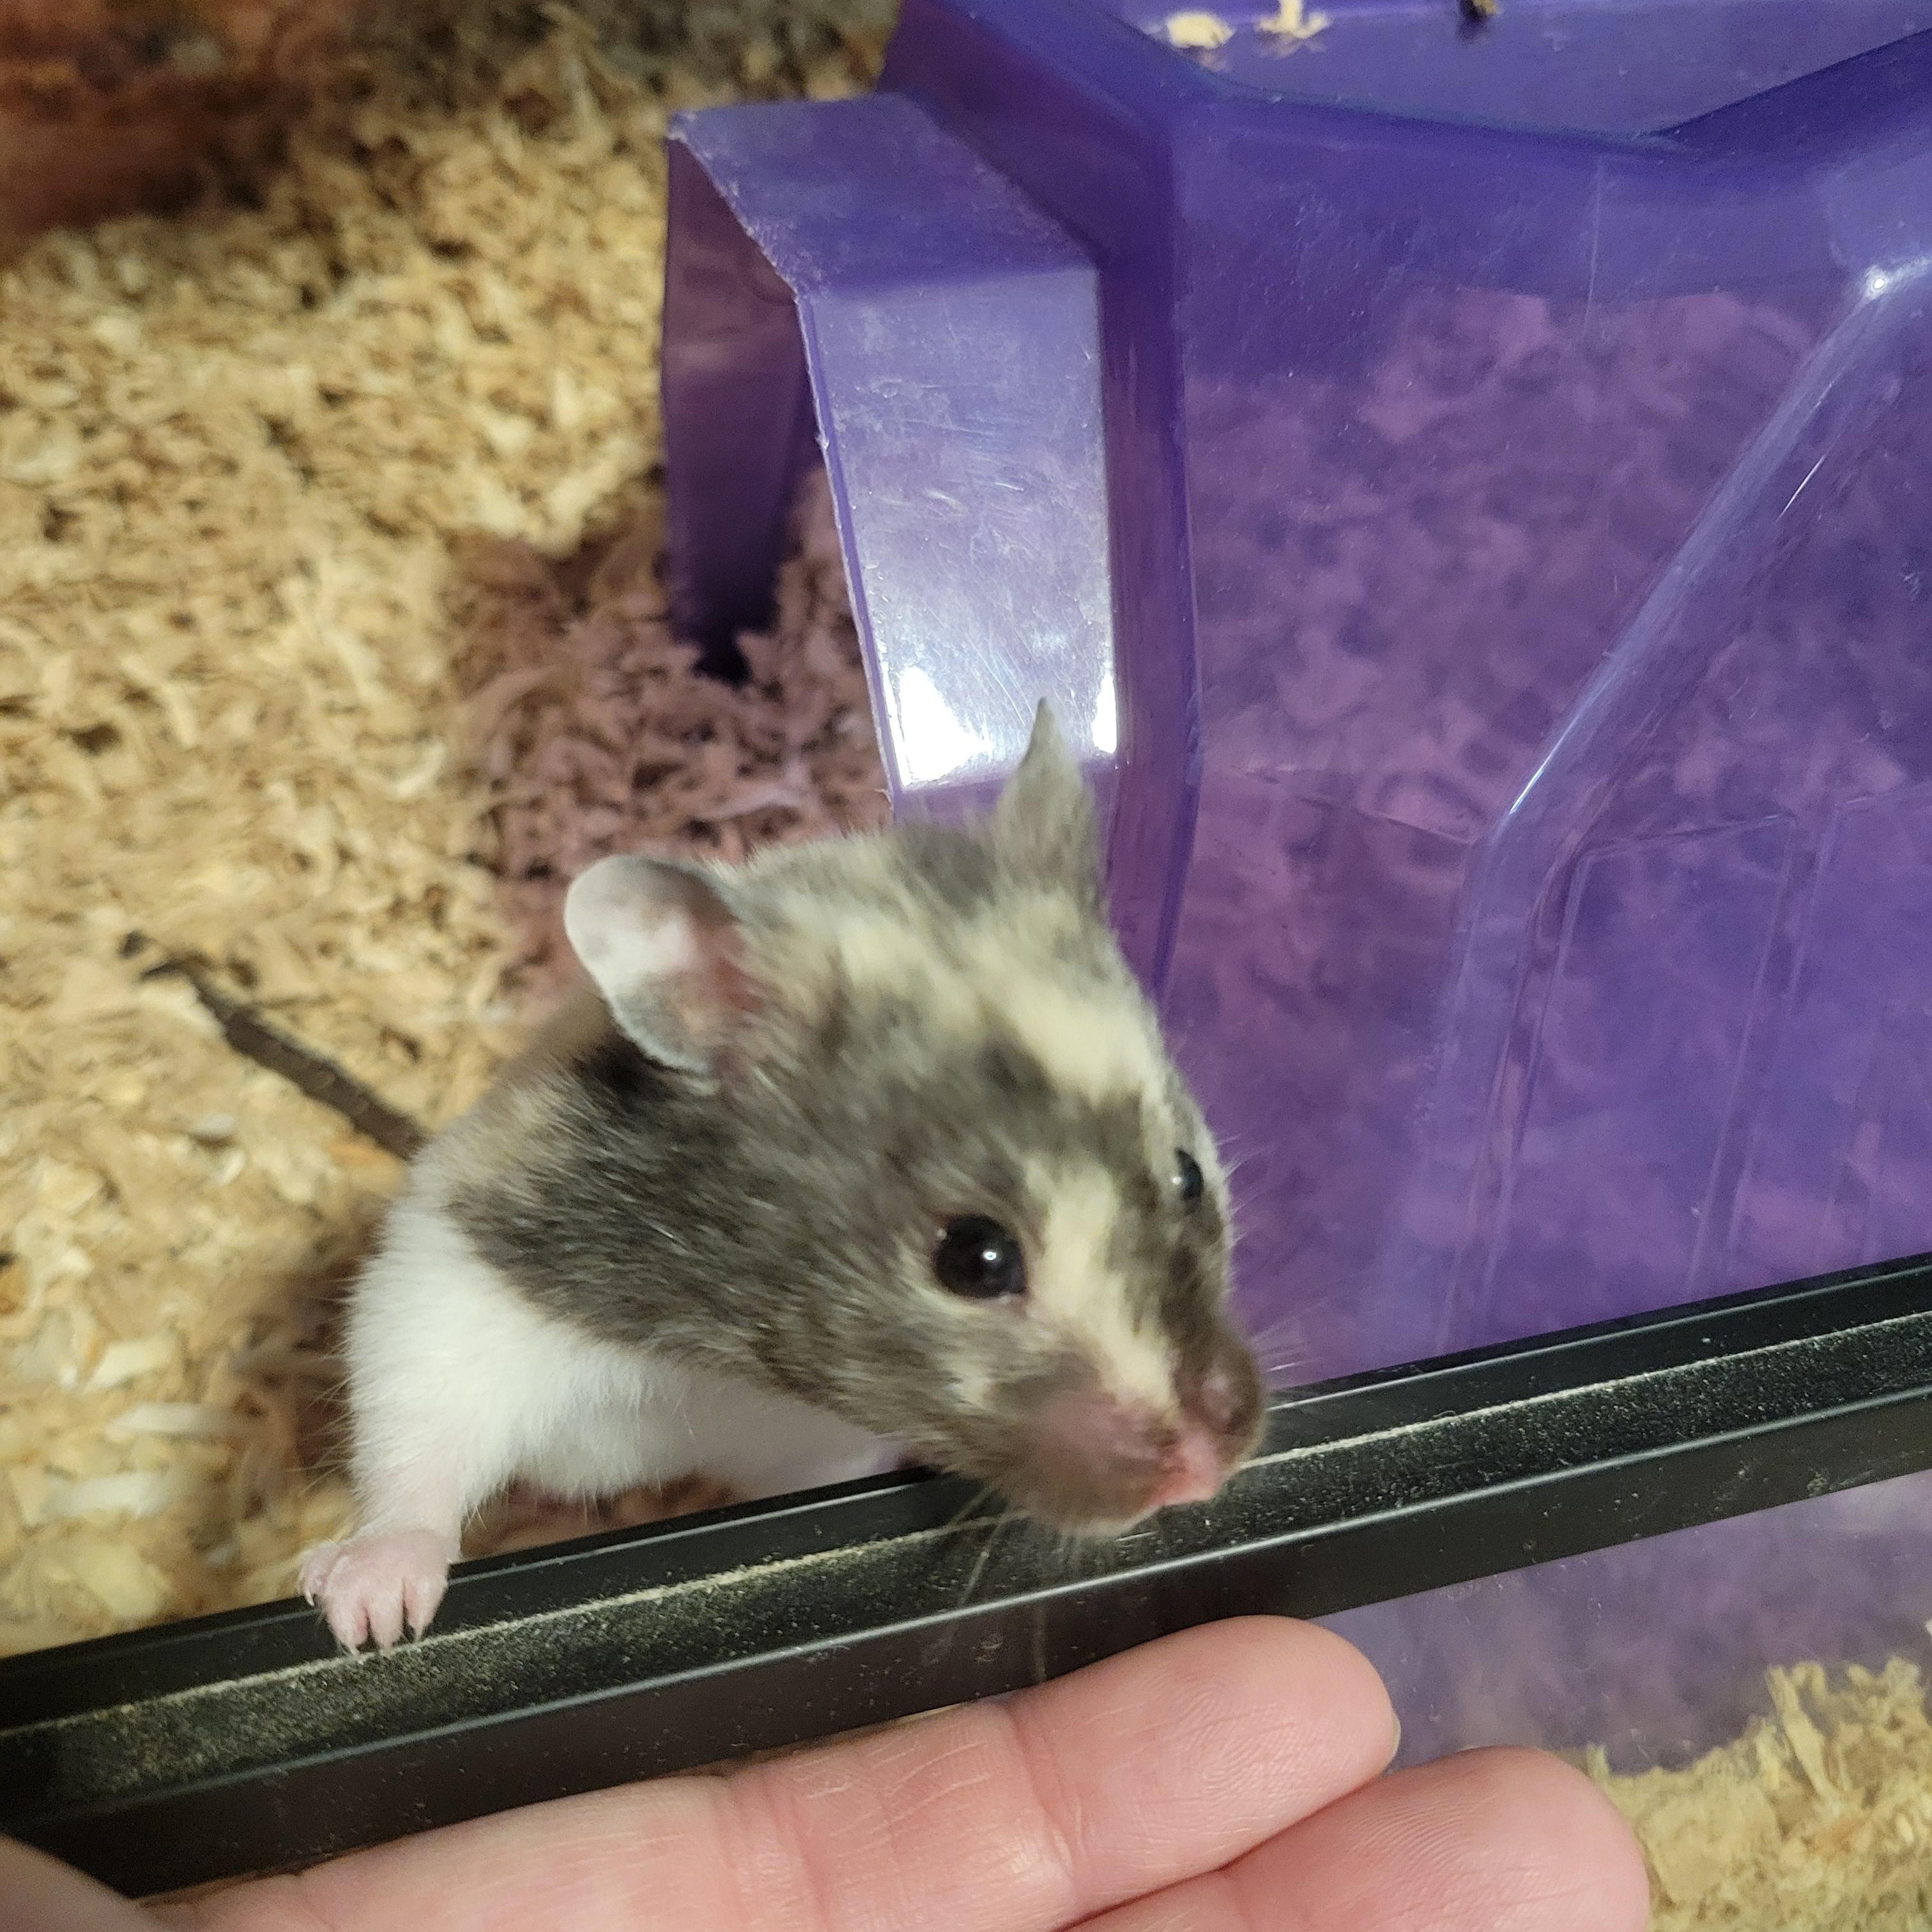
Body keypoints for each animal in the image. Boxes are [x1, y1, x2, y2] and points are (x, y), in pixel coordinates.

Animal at [300, 703, 1265, 1650]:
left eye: (1189, 1176)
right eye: (975, 1259)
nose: (1205, 1474)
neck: (730, 1351)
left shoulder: (819, 1451)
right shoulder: (457, 1283)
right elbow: (418, 1430)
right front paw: (369, 1616)